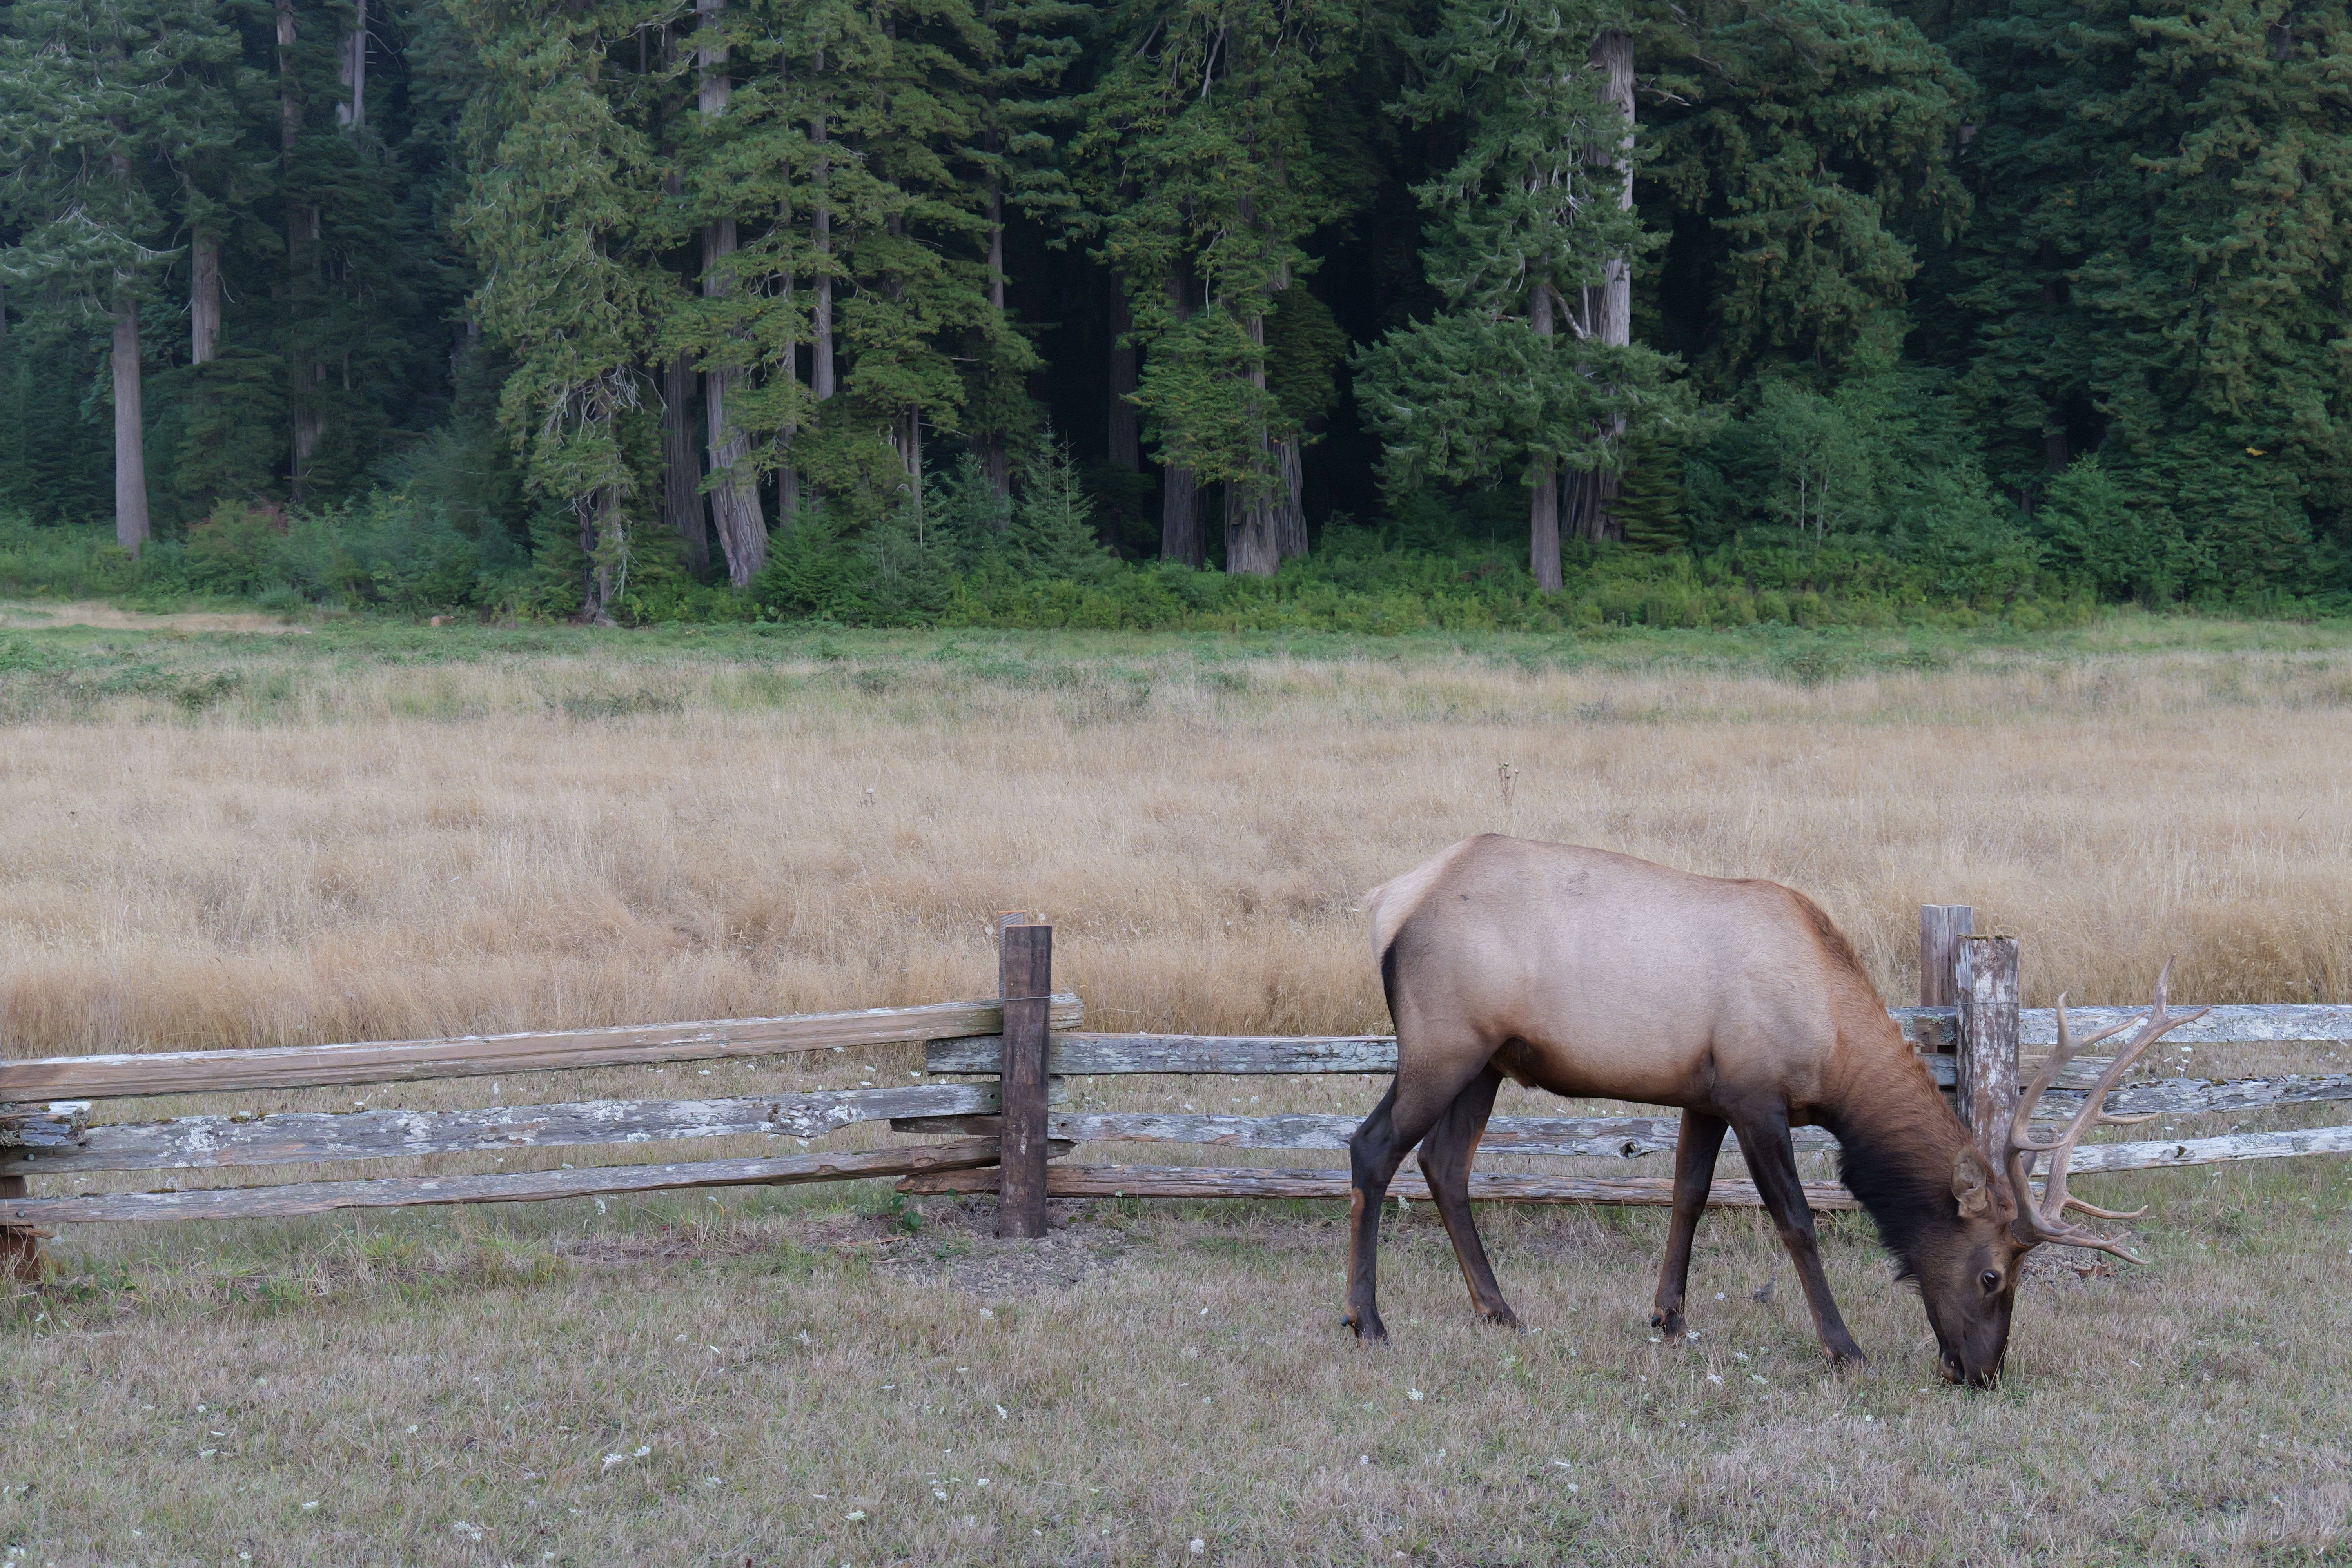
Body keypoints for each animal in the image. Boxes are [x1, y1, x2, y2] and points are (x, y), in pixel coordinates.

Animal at [1346, 835, 2203, 1387]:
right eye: (1993, 1274)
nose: (1984, 1371)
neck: (1834, 1046)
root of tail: (1388, 904)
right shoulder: (1757, 1095)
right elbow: (1796, 1219)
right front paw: (1845, 1348)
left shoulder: (1703, 1095)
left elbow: (1687, 1198)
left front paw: (1670, 1318)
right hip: (1444, 1043)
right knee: (1372, 1147)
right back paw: (1368, 1321)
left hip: (1486, 1062)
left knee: (1444, 1164)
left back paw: (1499, 1309)